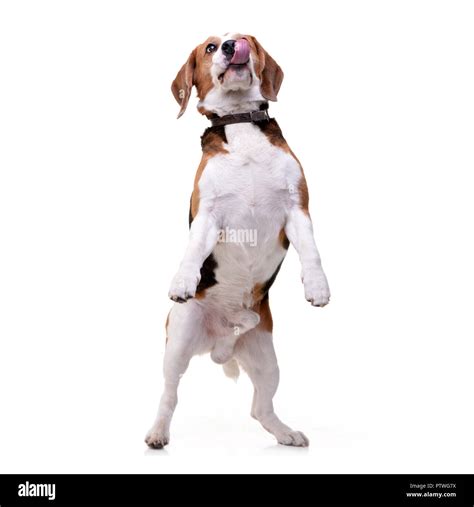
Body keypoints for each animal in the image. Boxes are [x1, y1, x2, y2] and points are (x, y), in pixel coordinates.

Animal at [145, 33, 330, 450]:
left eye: (244, 39)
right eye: (210, 48)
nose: (232, 45)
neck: (240, 122)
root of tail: (219, 341)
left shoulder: (297, 208)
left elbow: (312, 252)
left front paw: (318, 287)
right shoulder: (208, 213)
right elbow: (192, 252)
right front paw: (183, 281)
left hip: (266, 357)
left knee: (260, 408)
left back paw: (285, 432)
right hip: (178, 343)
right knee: (169, 394)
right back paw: (158, 432)